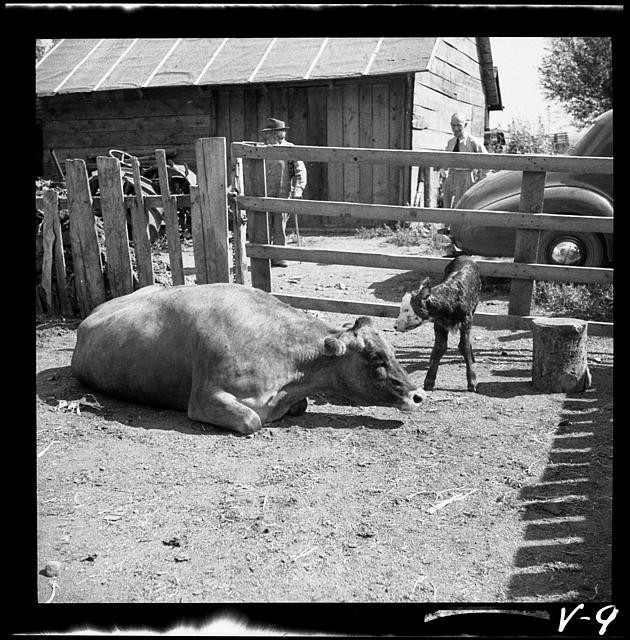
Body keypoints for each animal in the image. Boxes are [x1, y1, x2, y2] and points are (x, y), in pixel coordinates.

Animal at [71, 283, 425, 434]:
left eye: (393, 351)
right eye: (374, 356)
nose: (418, 395)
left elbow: (300, 406)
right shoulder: (205, 397)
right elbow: (252, 421)